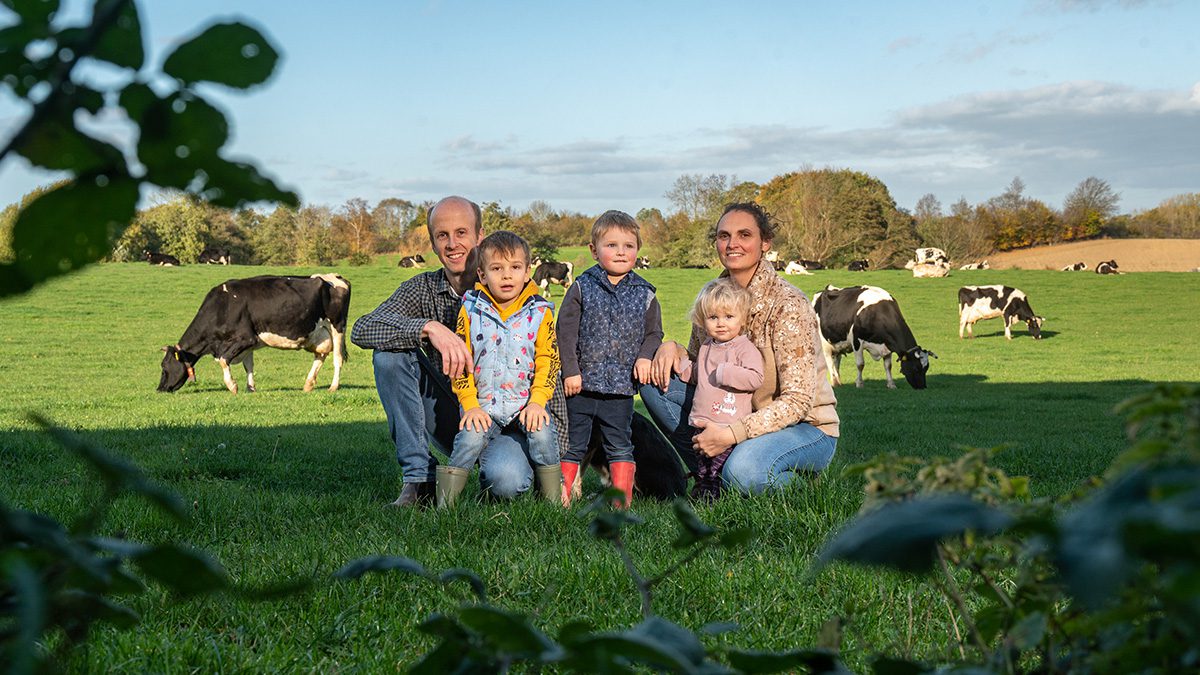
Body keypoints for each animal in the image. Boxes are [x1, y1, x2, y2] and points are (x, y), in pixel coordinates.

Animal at [158, 270, 350, 391]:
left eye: (164, 366)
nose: (160, 389)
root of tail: (336, 277)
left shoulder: (245, 338)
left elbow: (223, 360)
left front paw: (232, 386)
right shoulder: (250, 342)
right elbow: (248, 365)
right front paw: (250, 388)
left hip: (337, 326)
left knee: (337, 358)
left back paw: (333, 387)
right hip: (320, 333)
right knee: (321, 354)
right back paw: (308, 384)